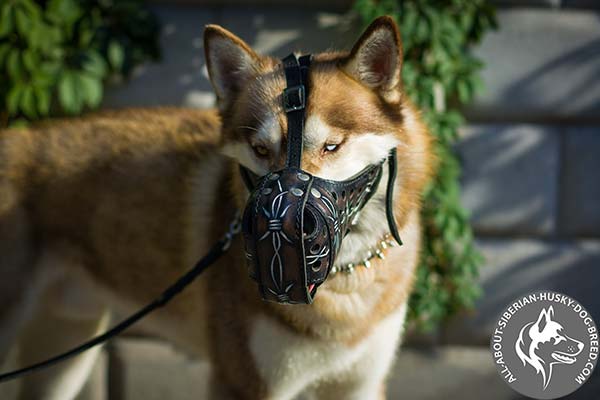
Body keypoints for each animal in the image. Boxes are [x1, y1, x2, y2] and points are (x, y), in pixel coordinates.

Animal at [0, 16, 432, 400]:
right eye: (260, 149)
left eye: (331, 146)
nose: (284, 225)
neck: (344, 289)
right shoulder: (243, 384)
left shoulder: (359, 385)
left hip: (65, 353)